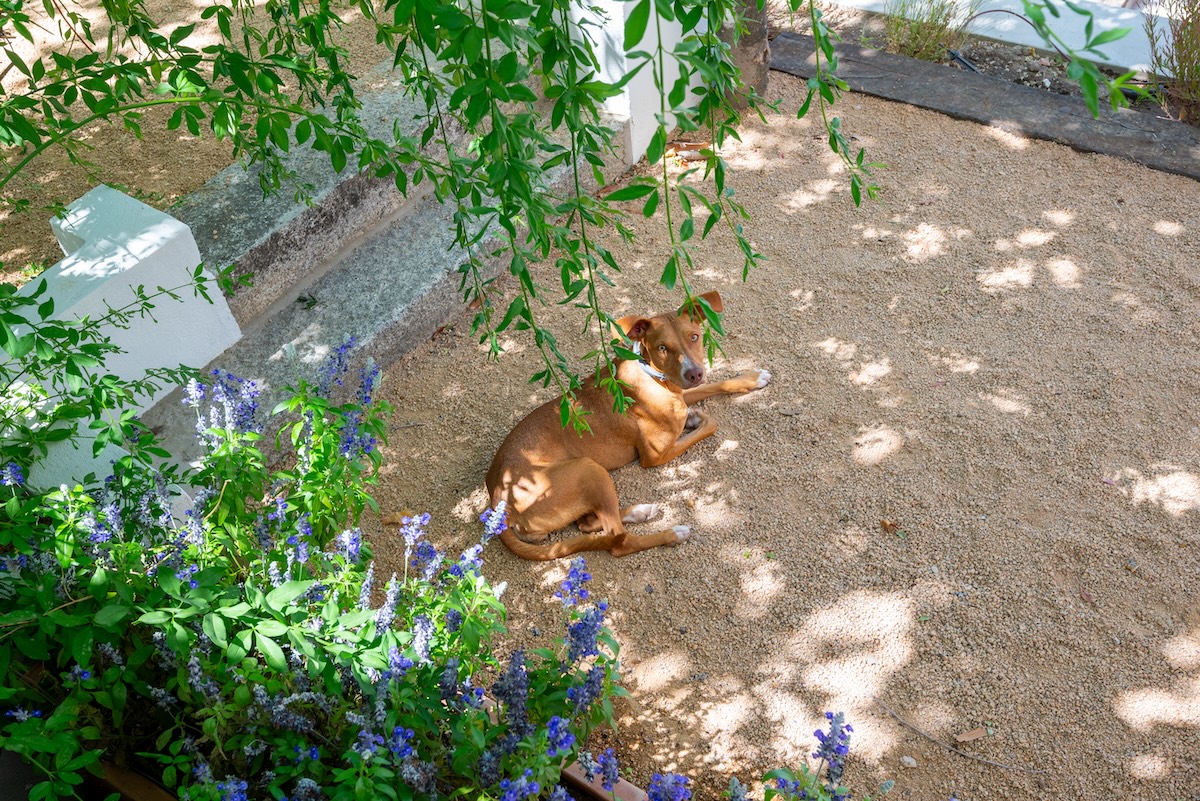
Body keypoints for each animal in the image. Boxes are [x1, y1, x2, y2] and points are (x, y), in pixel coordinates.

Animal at [484, 291, 772, 561]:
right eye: (662, 347)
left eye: (694, 337)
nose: (694, 373)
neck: (652, 377)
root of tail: (499, 501)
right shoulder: (654, 456)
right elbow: (710, 424)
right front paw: (695, 418)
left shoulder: (683, 390)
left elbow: (715, 385)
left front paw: (751, 378)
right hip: (588, 469)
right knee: (619, 541)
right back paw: (671, 533)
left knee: (588, 524)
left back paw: (640, 511)